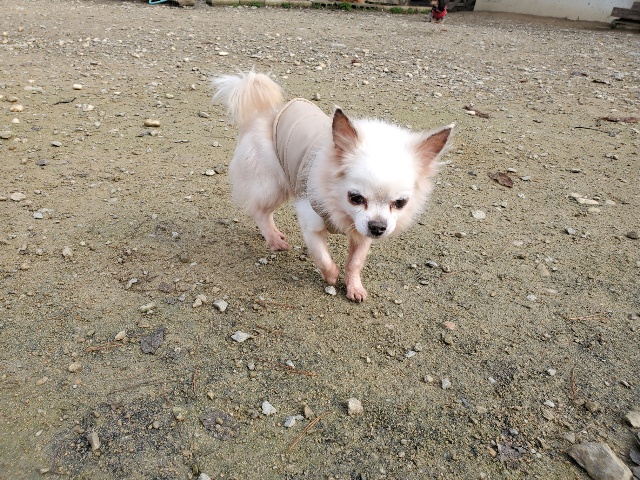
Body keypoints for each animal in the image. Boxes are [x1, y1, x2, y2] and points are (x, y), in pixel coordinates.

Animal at [213, 71, 453, 302]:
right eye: (355, 198)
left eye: (400, 203)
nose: (378, 227)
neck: (342, 211)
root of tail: (264, 113)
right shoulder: (311, 223)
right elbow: (323, 258)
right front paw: (331, 277)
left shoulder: (362, 233)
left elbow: (355, 262)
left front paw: (354, 287)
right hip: (272, 185)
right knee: (260, 212)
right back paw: (274, 240)